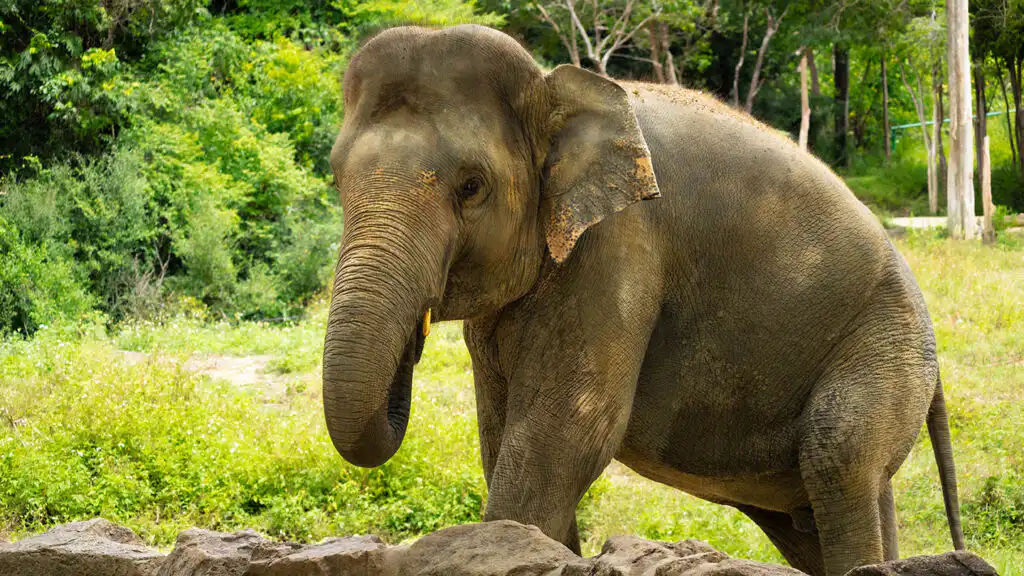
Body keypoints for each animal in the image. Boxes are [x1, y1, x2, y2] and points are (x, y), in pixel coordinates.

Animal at [321, 24, 966, 576]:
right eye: (335, 179)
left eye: (471, 187)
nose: (414, 340)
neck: (551, 87)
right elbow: (500, 431)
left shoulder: (621, 242)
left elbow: (565, 434)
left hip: (888, 348)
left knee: (839, 455)